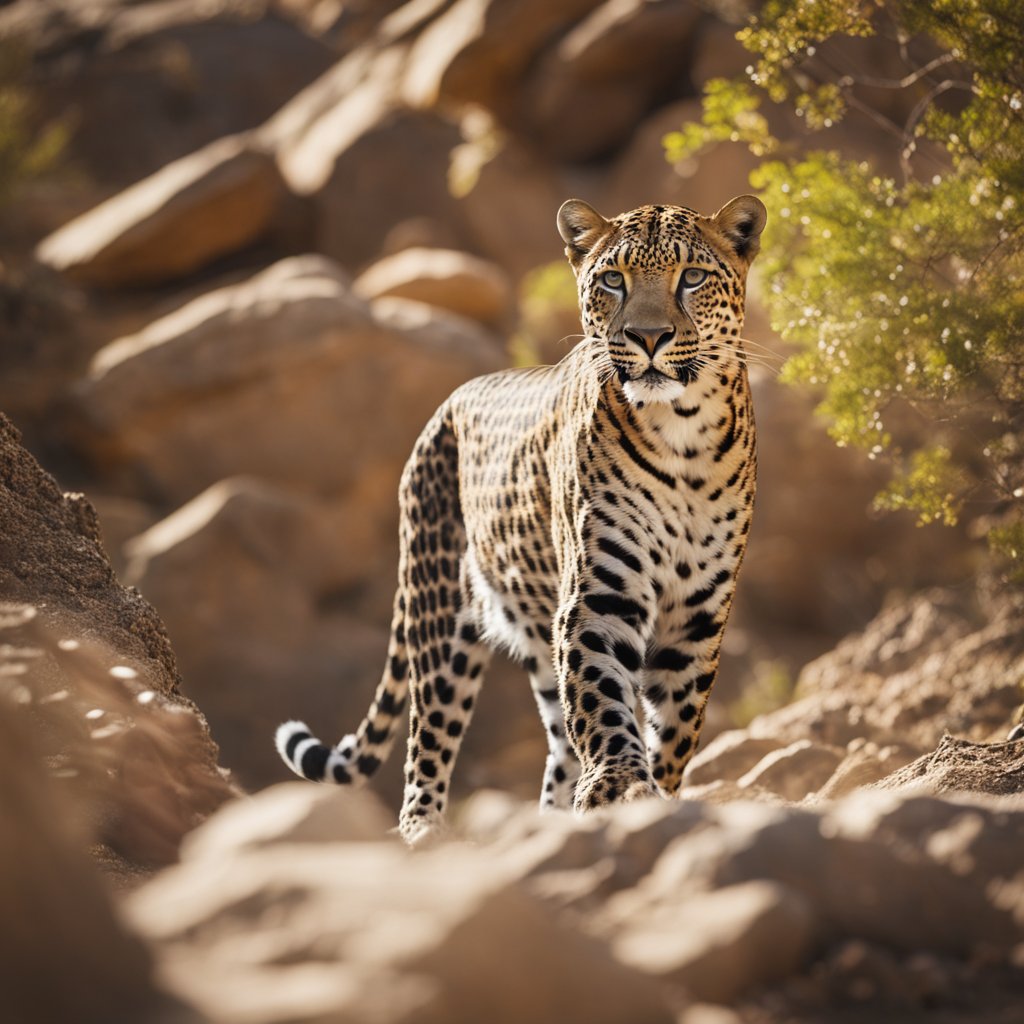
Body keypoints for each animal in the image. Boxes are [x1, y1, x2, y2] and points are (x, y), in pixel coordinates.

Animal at [276, 194, 766, 845]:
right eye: (613, 280)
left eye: (691, 278)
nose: (648, 337)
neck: (680, 435)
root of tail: (447, 403)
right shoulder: (600, 596)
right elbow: (604, 701)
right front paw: (620, 787)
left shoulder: (697, 613)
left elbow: (674, 724)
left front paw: (652, 795)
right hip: (439, 620)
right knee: (426, 744)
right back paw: (423, 834)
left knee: (558, 741)